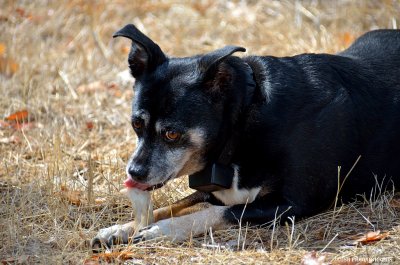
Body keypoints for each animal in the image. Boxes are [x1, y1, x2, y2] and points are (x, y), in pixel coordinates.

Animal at [92, 24, 400, 248]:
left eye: (172, 133)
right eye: (136, 124)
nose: (134, 172)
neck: (243, 118)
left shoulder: (292, 203)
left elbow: (216, 213)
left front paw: (161, 230)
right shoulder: (215, 191)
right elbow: (173, 206)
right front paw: (121, 228)